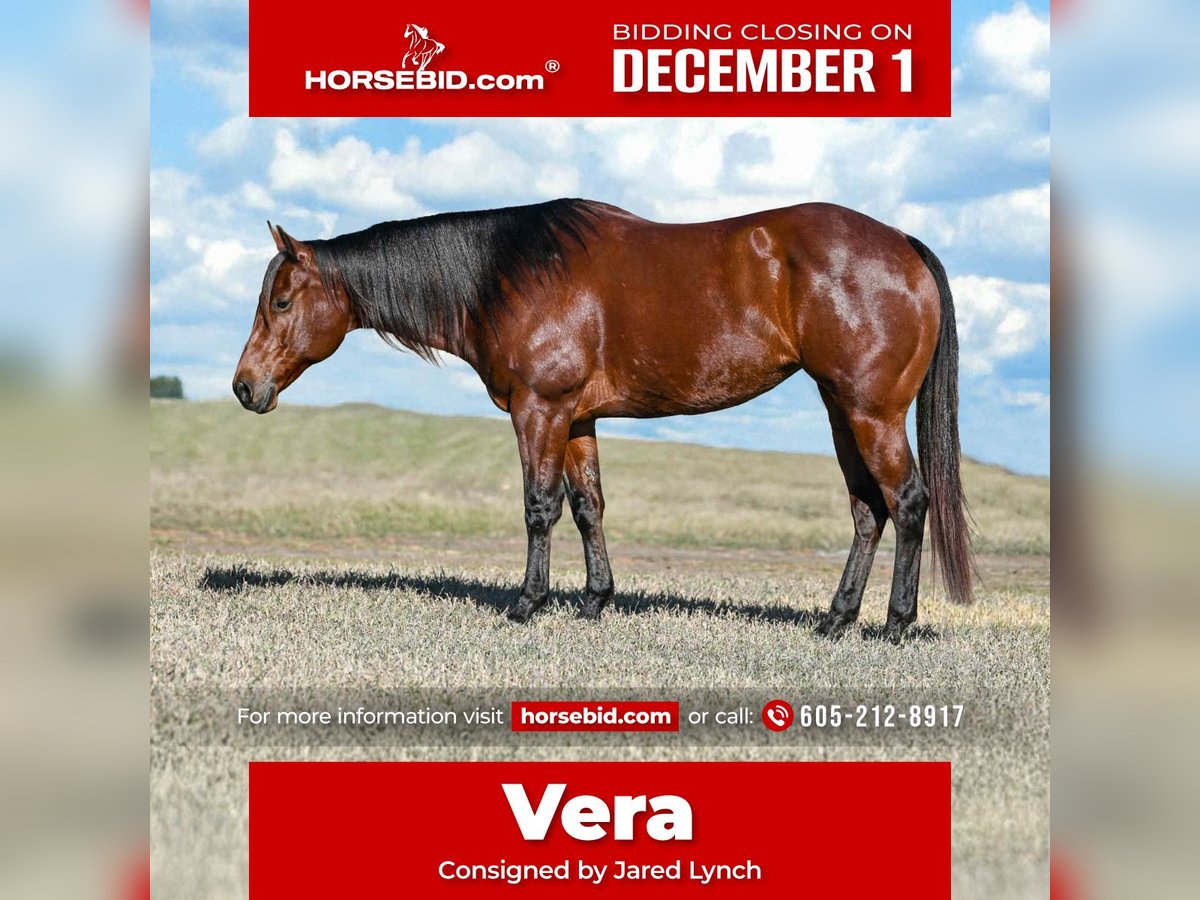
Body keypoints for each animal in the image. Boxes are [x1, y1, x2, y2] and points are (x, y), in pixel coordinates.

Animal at [233, 200, 974, 643]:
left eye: (280, 301)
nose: (244, 387)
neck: (512, 273)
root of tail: (904, 245)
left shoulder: (540, 408)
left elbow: (539, 507)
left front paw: (527, 604)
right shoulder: (577, 418)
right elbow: (588, 506)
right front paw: (594, 600)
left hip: (871, 412)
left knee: (907, 502)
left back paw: (896, 624)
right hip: (839, 408)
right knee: (867, 511)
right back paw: (835, 620)